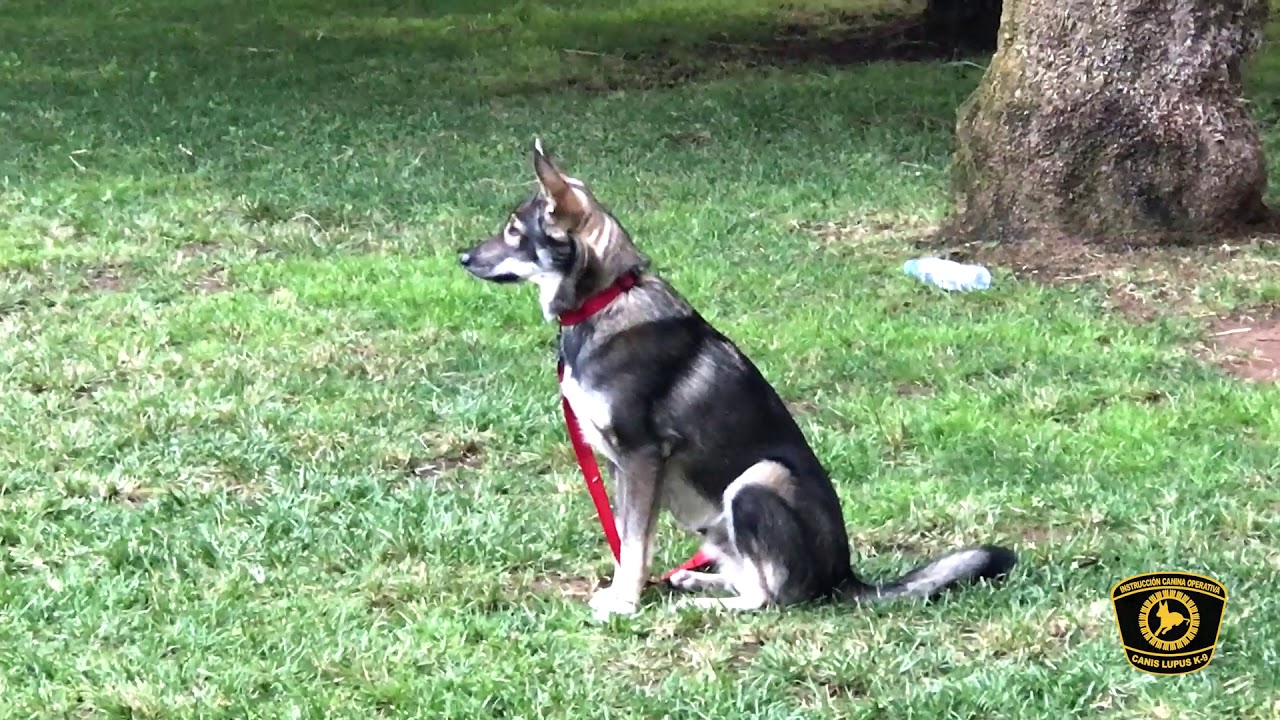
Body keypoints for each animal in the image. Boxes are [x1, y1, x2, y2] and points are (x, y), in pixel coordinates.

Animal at [458, 139, 1016, 620]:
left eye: (514, 231)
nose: (462, 257)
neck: (607, 299)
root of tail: (844, 579)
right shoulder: (619, 465)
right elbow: (628, 540)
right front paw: (625, 590)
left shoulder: (641, 455)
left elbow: (633, 544)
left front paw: (624, 602)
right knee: (752, 579)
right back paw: (695, 580)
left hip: (756, 480)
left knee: (770, 598)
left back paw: (703, 602)